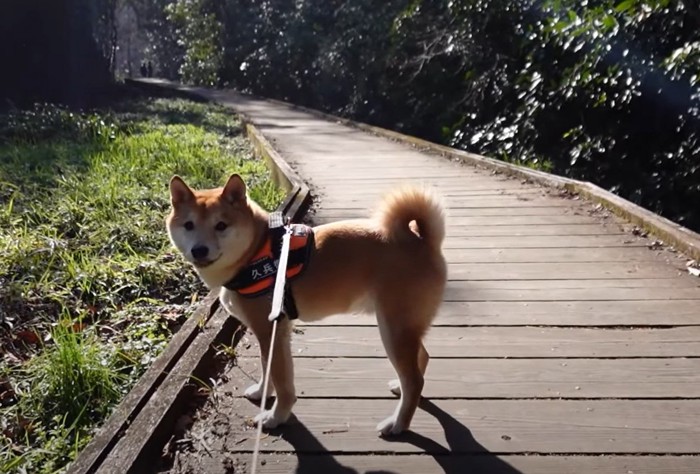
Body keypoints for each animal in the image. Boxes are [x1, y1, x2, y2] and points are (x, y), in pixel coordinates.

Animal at [167, 175, 446, 436]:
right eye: (189, 225)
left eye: (221, 225)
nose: (199, 250)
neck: (254, 253)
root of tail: (422, 241)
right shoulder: (273, 334)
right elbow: (267, 370)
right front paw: (261, 392)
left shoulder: (271, 331)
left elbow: (282, 383)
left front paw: (275, 417)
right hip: (403, 328)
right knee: (421, 360)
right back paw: (399, 387)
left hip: (393, 329)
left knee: (415, 381)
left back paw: (398, 424)